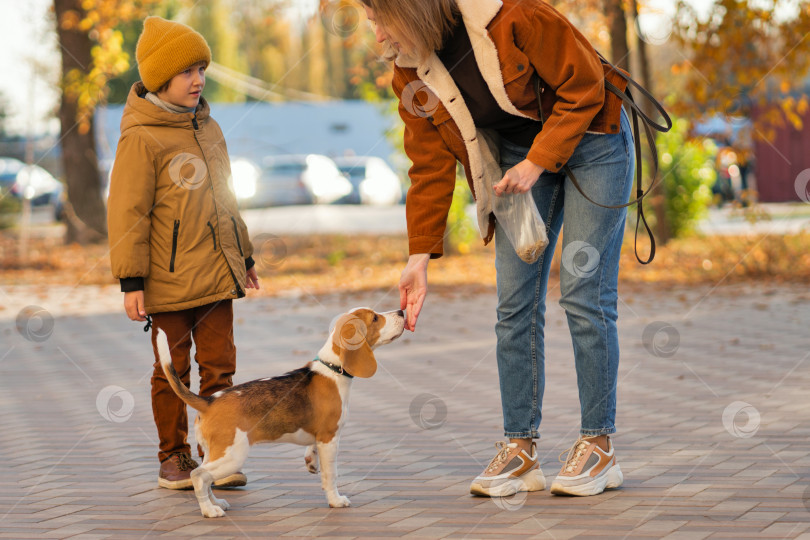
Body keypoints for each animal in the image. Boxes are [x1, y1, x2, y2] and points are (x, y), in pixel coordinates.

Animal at [157, 306, 404, 516]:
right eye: (375, 318)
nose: (402, 311)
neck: (332, 369)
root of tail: (208, 401)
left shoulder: (319, 437)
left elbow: (314, 455)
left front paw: (311, 462)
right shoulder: (330, 438)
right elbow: (331, 475)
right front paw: (335, 500)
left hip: (215, 452)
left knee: (207, 478)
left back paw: (216, 503)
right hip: (233, 455)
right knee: (198, 476)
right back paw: (209, 511)